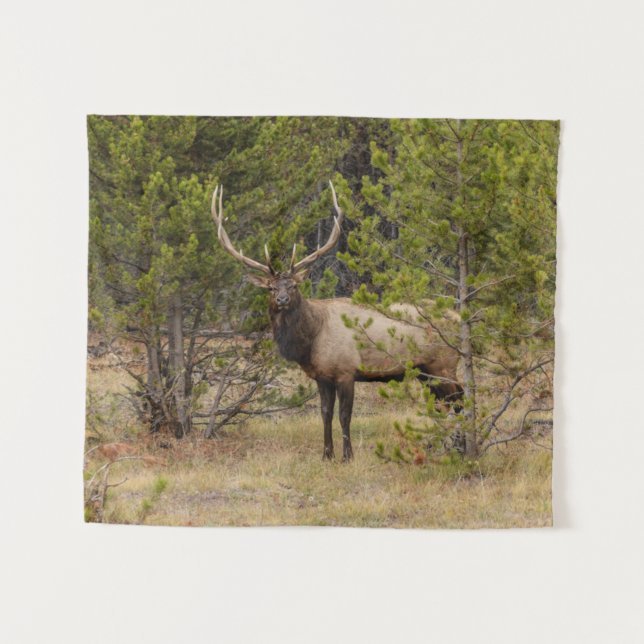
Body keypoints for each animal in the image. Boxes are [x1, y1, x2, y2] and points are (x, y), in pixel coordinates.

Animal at [211, 182, 463, 461]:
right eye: (270, 287)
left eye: (295, 285)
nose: (282, 298)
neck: (311, 341)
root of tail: (458, 317)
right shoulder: (322, 377)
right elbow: (325, 414)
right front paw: (326, 455)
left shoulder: (346, 371)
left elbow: (344, 416)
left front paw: (348, 456)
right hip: (425, 371)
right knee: (444, 405)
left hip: (443, 365)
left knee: (458, 402)